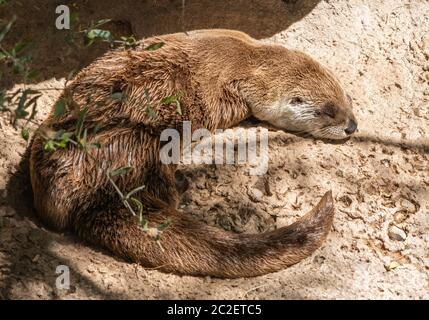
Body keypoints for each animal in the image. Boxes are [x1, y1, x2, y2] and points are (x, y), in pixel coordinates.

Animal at [29, 29, 354, 278]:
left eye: (346, 99)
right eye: (328, 111)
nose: (352, 126)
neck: (249, 60)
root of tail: (98, 183)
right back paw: (182, 182)